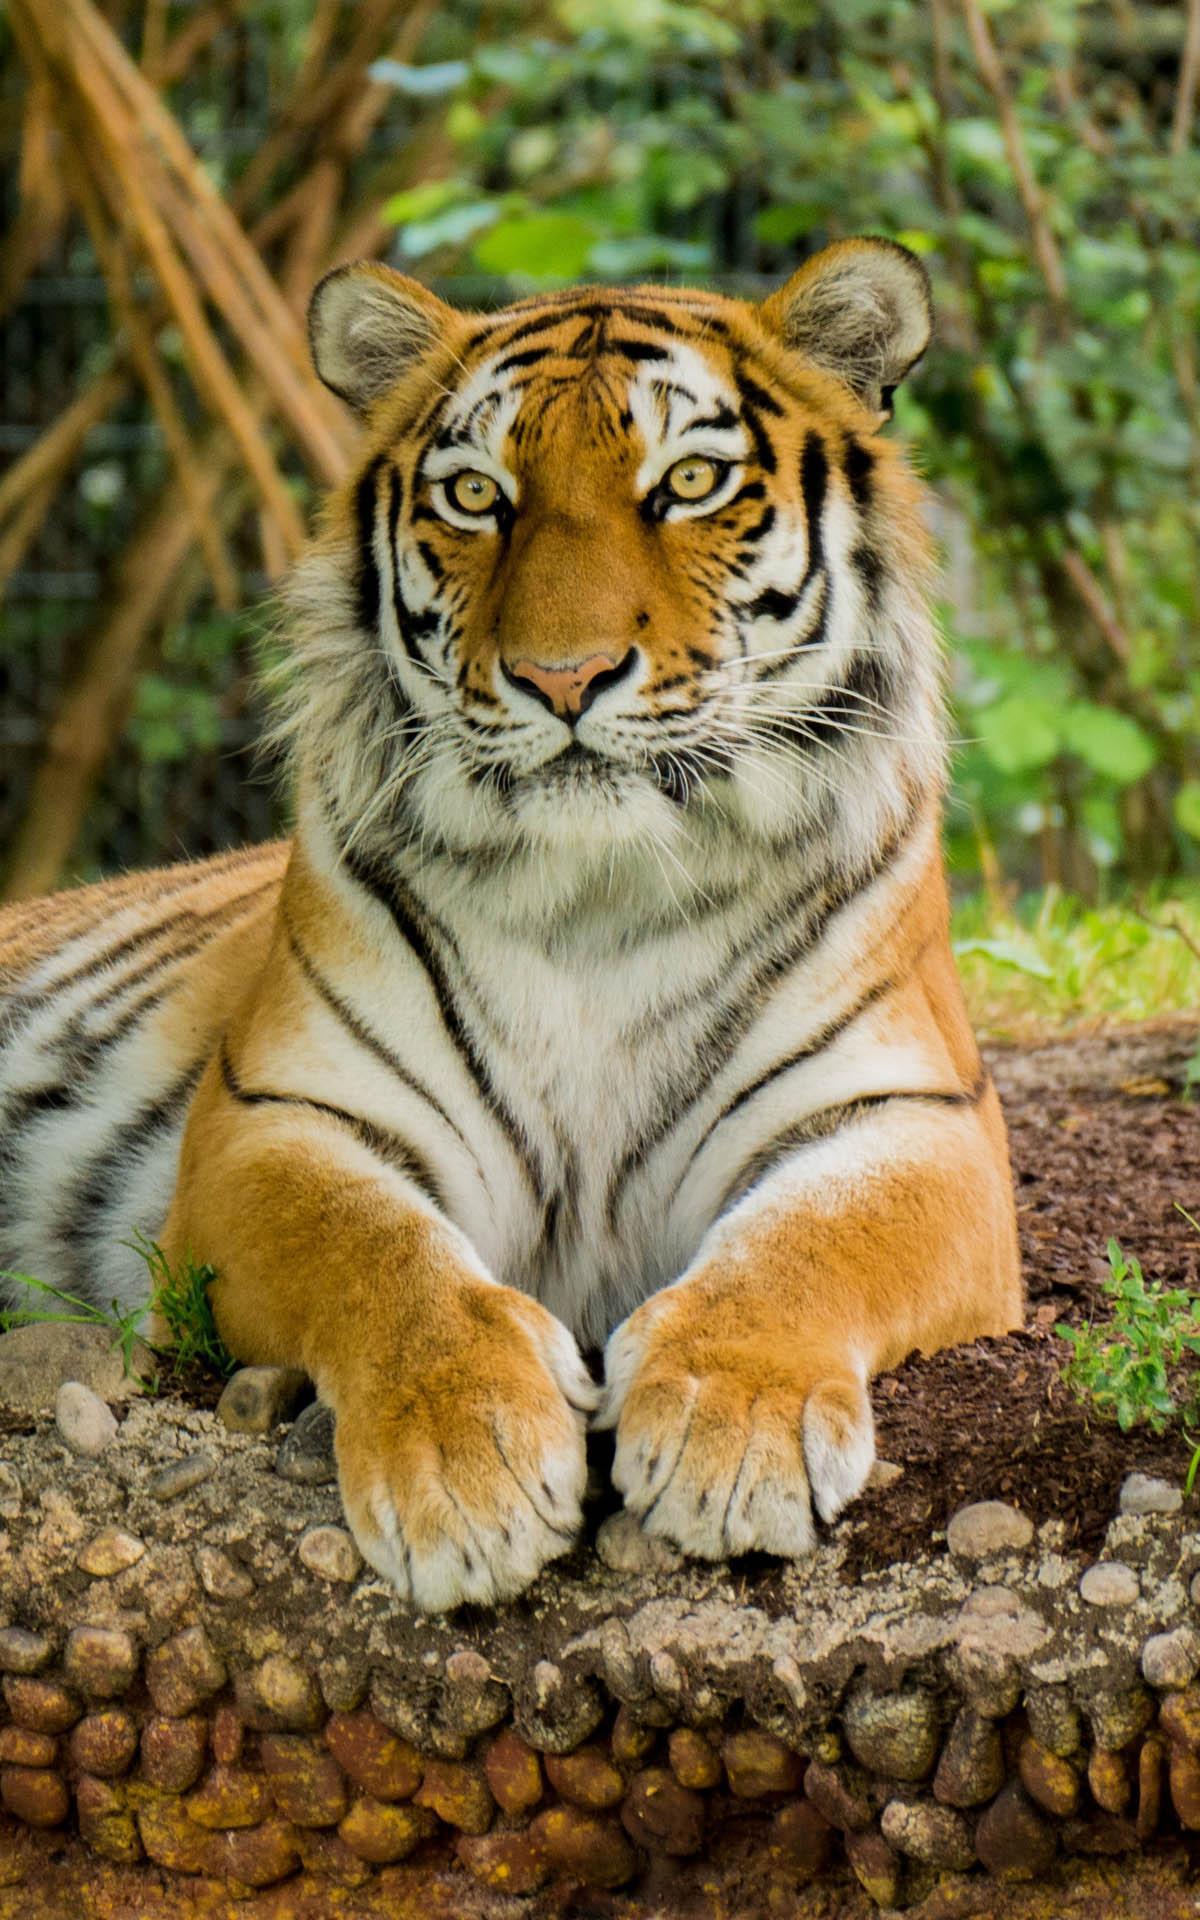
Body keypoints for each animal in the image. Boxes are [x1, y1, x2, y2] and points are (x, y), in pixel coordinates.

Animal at [0, 238, 1022, 1610]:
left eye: (689, 482)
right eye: (478, 496)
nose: (562, 677)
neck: (599, 898)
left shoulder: (911, 1119)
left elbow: (809, 1245)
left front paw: (733, 1426)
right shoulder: (274, 1121)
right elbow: (379, 1254)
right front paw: (465, 1465)